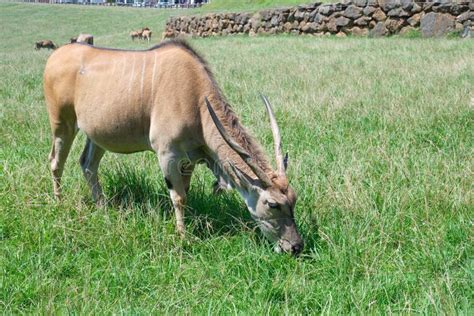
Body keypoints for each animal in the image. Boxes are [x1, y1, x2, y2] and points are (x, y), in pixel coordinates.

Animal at [43, 40, 304, 256]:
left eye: (294, 199)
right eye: (272, 204)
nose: (296, 247)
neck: (196, 100)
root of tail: (56, 55)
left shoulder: (188, 160)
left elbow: (185, 192)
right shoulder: (167, 154)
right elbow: (178, 197)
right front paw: (182, 236)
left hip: (96, 136)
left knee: (87, 165)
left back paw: (103, 208)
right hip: (62, 124)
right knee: (56, 161)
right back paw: (59, 202)